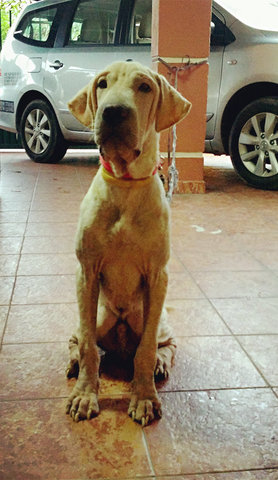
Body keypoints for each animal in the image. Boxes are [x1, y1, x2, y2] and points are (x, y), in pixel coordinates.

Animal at [65, 59, 191, 424]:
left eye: (144, 87)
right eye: (102, 84)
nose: (113, 112)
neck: (126, 183)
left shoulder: (158, 275)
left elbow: (145, 350)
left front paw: (144, 397)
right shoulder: (86, 272)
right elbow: (89, 346)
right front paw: (85, 394)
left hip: (155, 319)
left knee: (164, 344)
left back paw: (160, 365)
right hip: (97, 314)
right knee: (80, 338)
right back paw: (74, 362)